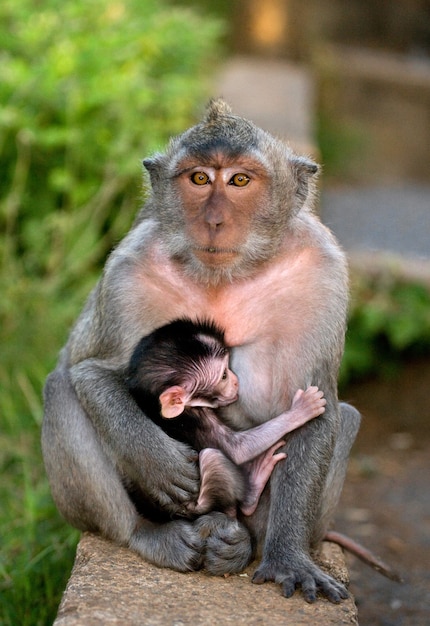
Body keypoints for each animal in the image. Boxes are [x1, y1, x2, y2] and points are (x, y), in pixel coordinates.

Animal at [43, 100, 362, 604]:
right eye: (198, 179)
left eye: (239, 181)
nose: (213, 220)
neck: (226, 275)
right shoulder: (130, 266)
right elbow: (92, 370)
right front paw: (156, 459)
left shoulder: (322, 270)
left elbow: (320, 403)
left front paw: (289, 556)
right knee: (61, 390)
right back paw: (146, 533)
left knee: (344, 417)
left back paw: (242, 544)